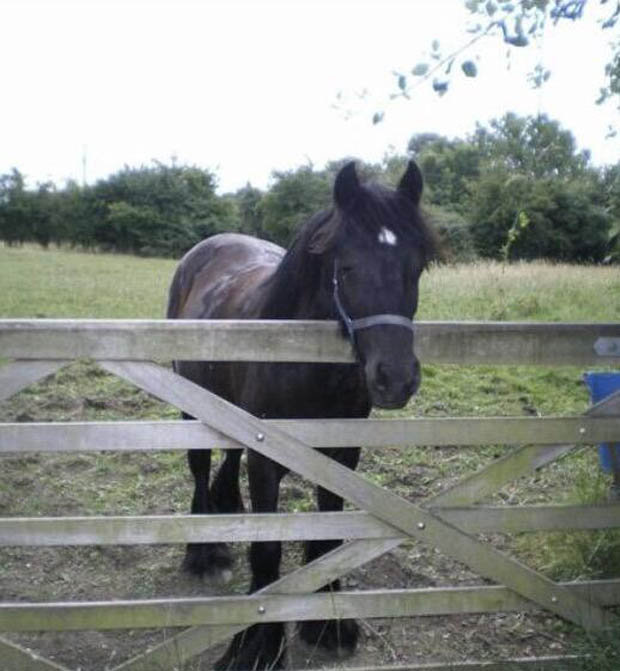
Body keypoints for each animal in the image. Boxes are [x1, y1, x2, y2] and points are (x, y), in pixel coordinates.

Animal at [166, 160, 437, 669]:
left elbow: (327, 537)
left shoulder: (341, 454)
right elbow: (267, 549)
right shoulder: (266, 459)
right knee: (199, 467)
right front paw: (258, 644)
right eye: (345, 267)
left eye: (418, 266)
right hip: (191, 406)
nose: (395, 378)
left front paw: (328, 624)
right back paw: (206, 554)